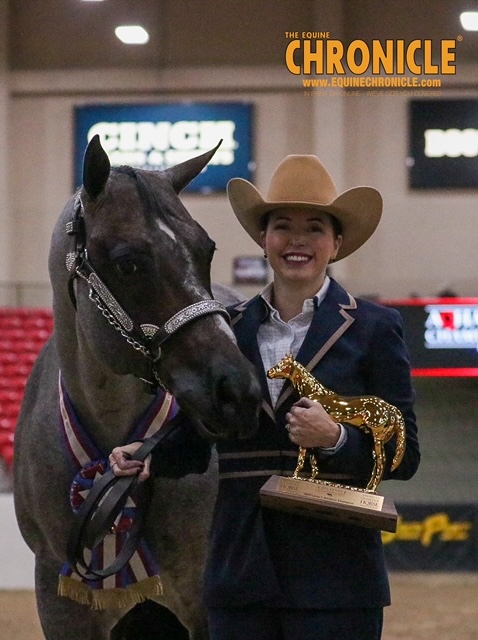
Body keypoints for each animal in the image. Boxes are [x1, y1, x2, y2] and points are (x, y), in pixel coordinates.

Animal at [268, 352, 406, 492]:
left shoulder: (305, 434)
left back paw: (370, 489)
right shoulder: (313, 441)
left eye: (281, 364)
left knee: (381, 463)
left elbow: (302, 458)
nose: (269, 372)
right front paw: (312, 478)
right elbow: (313, 459)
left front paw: (295, 475)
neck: (315, 393)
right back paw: (368, 488)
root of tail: (390, 407)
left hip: (378, 439)